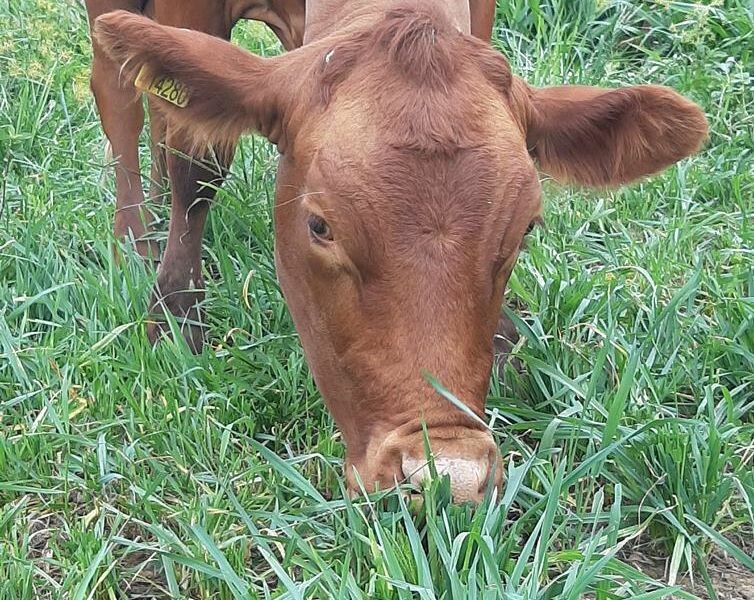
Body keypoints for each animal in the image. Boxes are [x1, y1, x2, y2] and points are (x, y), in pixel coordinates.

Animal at [89, 0, 704, 502]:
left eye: (526, 229)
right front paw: (175, 315)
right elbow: (196, 163)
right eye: (320, 226)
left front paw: (505, 340)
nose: (450, 475)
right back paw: (135, 238)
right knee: (120, 97)